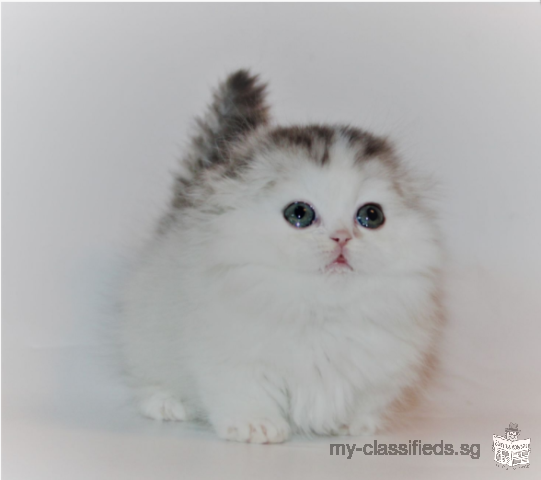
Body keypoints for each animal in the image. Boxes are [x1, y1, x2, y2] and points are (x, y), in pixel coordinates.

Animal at [117, 69, 438, 444]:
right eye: (299, 213)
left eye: (371, 215)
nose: (342, 238)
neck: (321, 314)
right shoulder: (230, 359)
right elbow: (243, 394)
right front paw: (255, 426)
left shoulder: (379, 371)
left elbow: (364, 403)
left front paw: (353, 426)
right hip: (144, 333)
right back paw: (166, 404)